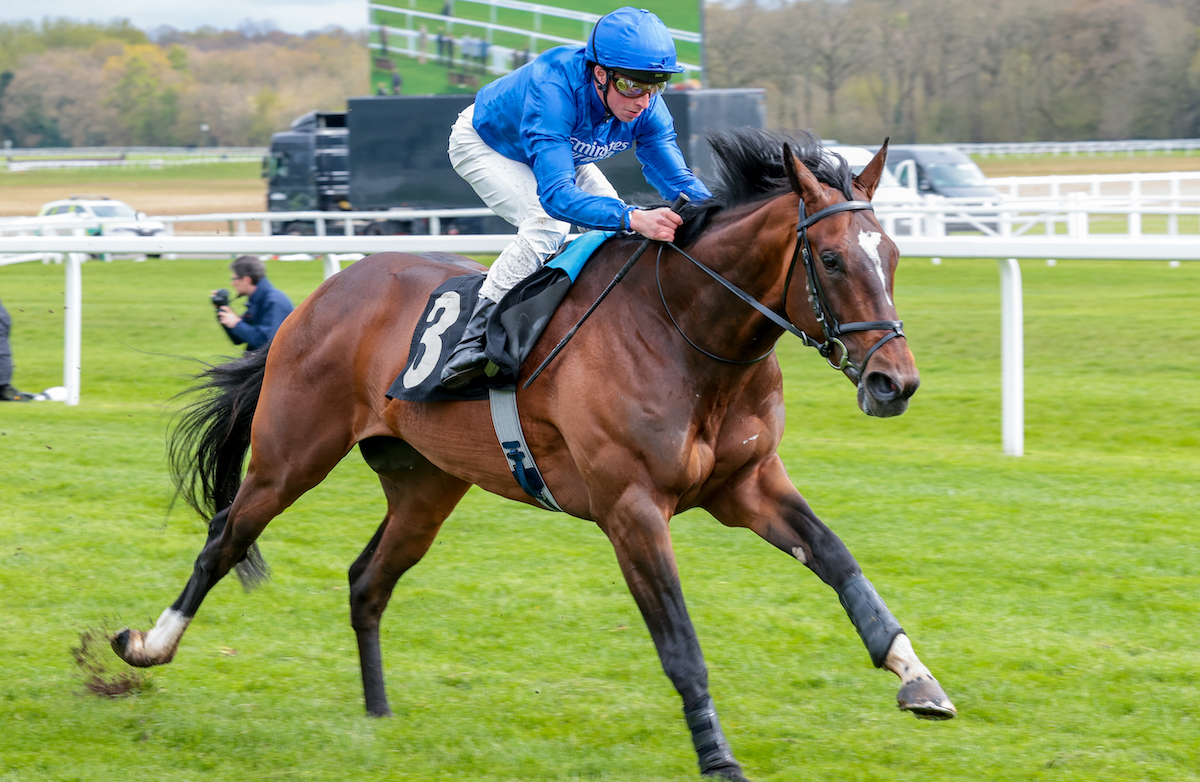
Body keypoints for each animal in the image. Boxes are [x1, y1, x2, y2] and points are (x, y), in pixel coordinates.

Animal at [112, 131, 955, 777]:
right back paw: (147, 645)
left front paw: (917, 677)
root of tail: (323, 296)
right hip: (293, 454)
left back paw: (379, 715)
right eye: (834, 262)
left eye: (894, 254)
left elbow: (840, 562)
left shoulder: (747, 483)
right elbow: (680, 643)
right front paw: (718, 758)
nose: (895, 382)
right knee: (225, 540)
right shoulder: (631, 508)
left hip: (425, 486)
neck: (688, 334)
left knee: (367, 580)